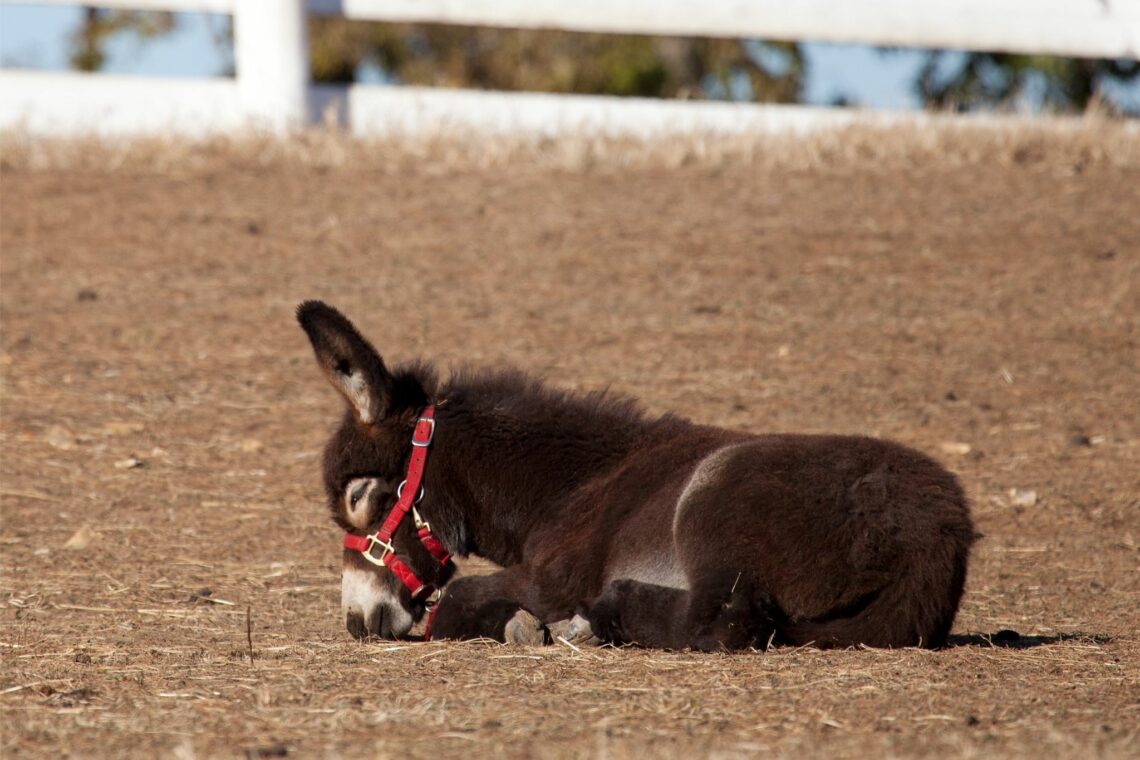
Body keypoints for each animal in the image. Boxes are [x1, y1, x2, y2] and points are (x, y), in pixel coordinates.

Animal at [297, 300, 978, 650]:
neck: (568, 487)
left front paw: (523, 624)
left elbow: (460, 598)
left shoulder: (556, 576)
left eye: (361, 495)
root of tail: (938, 538)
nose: (356, 620)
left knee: (728, 621)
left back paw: (604, 614)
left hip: (713, 500)